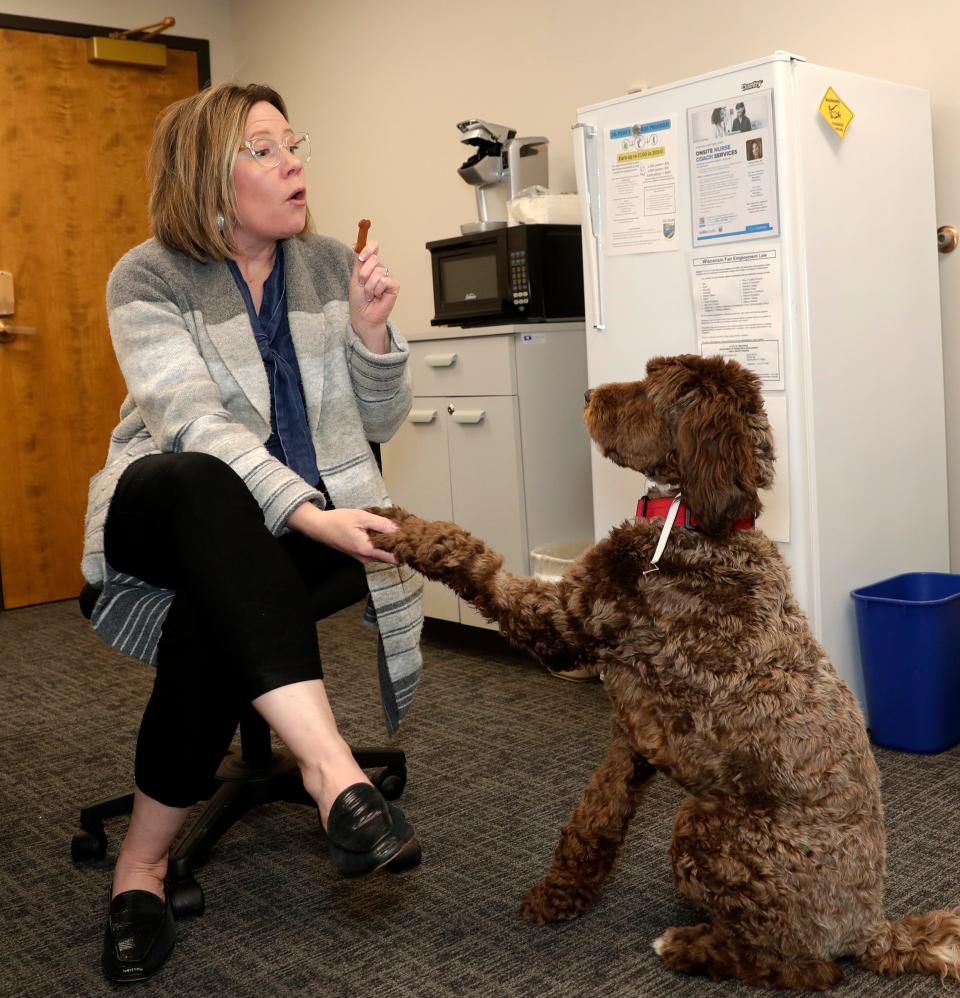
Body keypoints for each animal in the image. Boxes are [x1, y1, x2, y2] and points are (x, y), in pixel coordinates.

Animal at [370, 354, 960, 992]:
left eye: (652, 385)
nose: (587, 394)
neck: (694, 523)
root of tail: (869, 926)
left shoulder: (562, 621)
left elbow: (468, 553)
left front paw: (393, 523)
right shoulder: (631, 739)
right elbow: (595, 818)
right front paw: (560, 895)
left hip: (706, 822)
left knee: (807, 968)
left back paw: (690, 945)